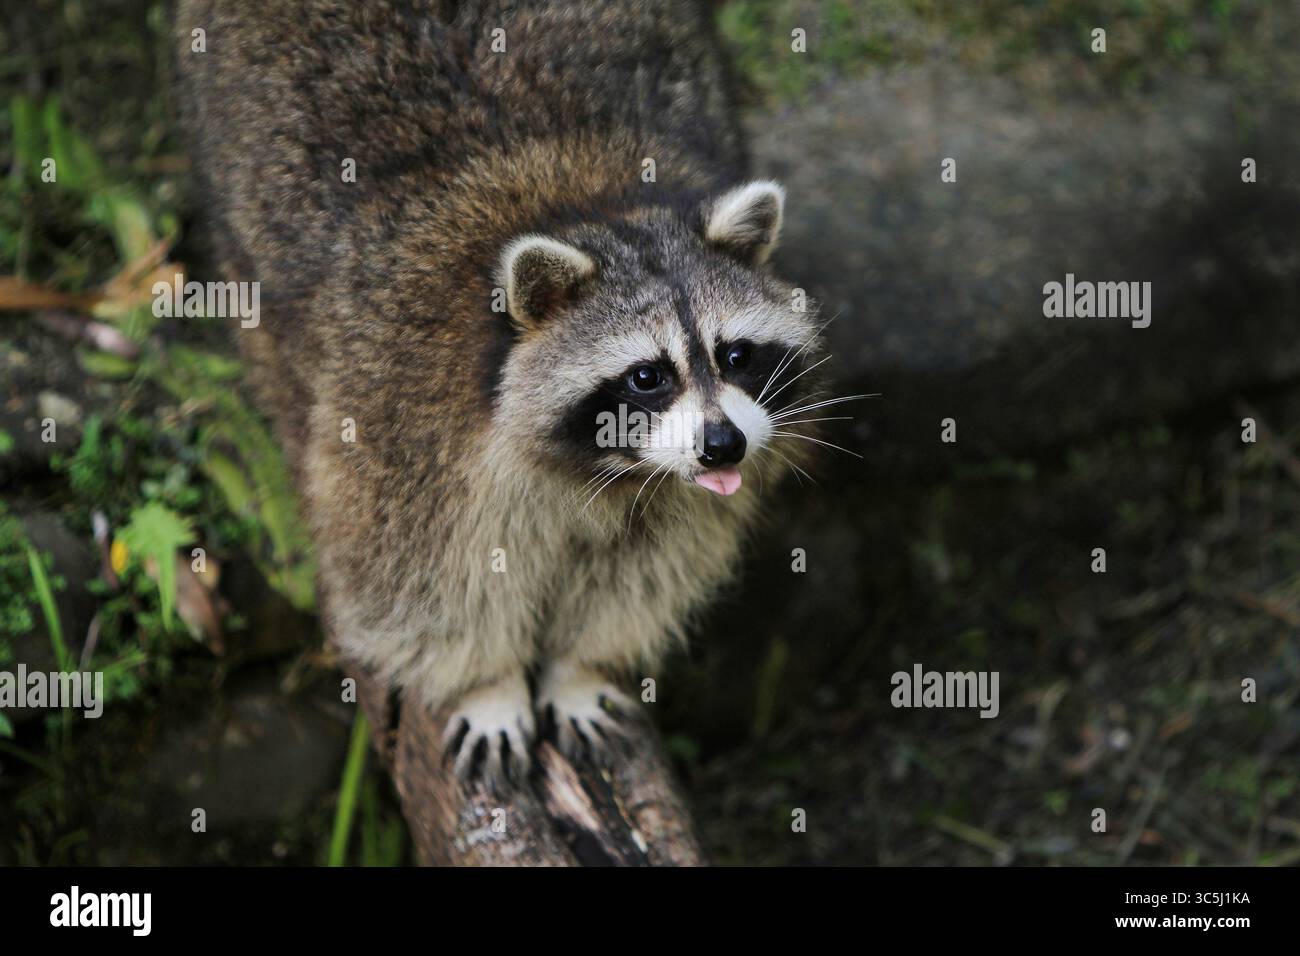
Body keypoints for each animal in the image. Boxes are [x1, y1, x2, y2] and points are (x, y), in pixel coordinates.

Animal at [176, 0, 825, 783]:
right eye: (648, 376)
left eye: (736, 356)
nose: (724, 446)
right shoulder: (401, 413)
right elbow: (415, 579)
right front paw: (486, 683)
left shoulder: (678, 487)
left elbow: (648, 564)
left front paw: (580, 666)